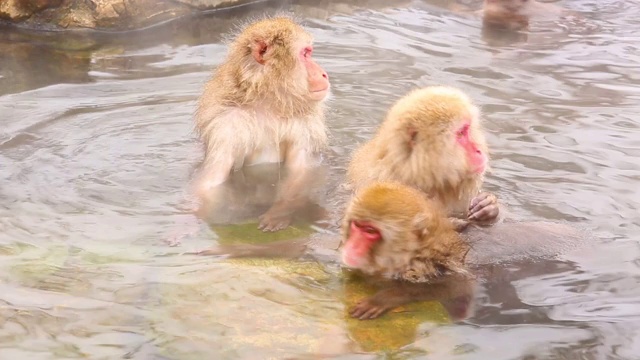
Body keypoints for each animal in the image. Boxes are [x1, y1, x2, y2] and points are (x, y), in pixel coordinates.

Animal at [189, 15, 330, 232]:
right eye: (305, 54)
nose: (324, 74)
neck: (268, 103)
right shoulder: (226, 124)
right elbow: (212, 179)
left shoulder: (304, 123)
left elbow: (300, 172)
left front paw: (280, 212)